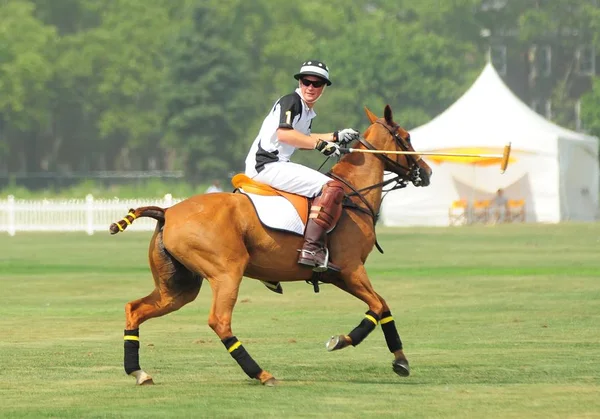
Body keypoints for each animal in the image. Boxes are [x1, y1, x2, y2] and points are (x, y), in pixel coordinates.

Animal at [109, 105, 432, 388]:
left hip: (179, 286)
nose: (426, 172)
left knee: (135, 308)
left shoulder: (337, 274)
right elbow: (377, 306)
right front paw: (341, 340)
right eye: (406, 137)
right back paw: (261, 373)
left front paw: (401, 360)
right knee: (219, 322)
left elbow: (382, 305)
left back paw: (139, 372)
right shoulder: (351, 269)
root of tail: (168, 212)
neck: (353, 196)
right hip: (226, 272)